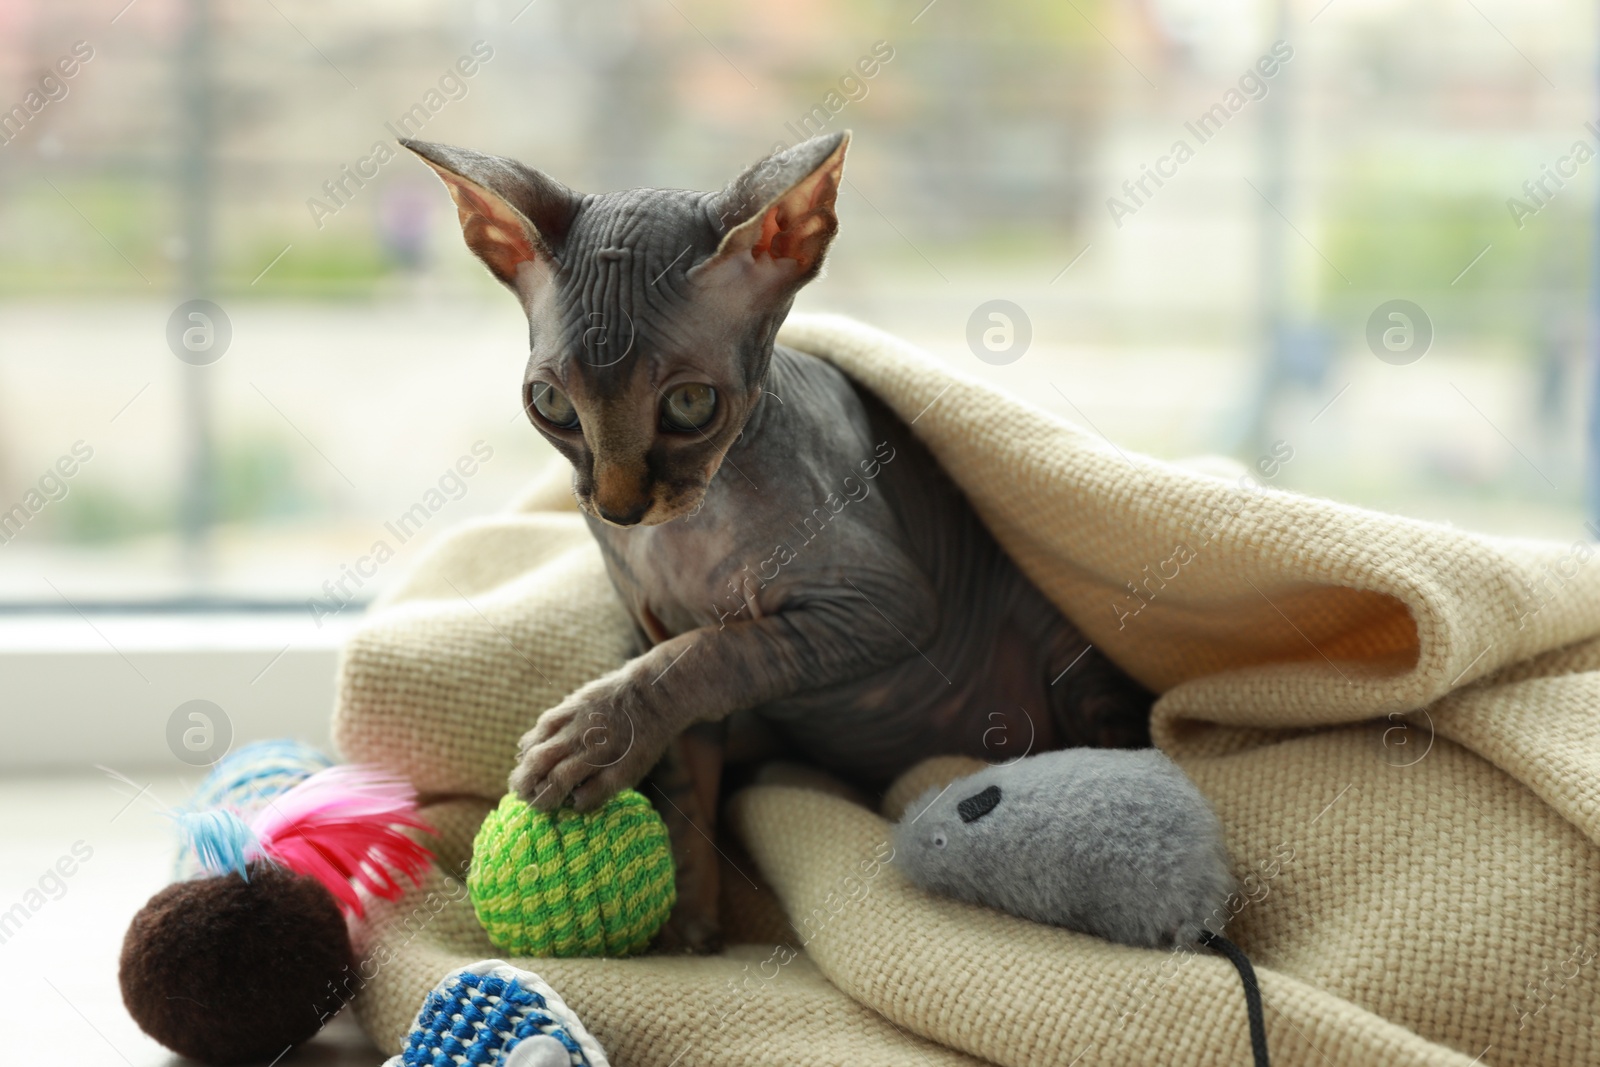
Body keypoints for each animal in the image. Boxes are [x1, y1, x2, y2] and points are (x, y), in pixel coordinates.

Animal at [400, 133, 1152, 953]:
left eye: (689, 404)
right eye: (551, 405)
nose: (620, 507)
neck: (686, 531)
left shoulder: (884, 606)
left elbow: (712, 654)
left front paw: (594, 736)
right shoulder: (654, 625)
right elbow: (686, 770)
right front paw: (690, 926)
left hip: (1073, 665)